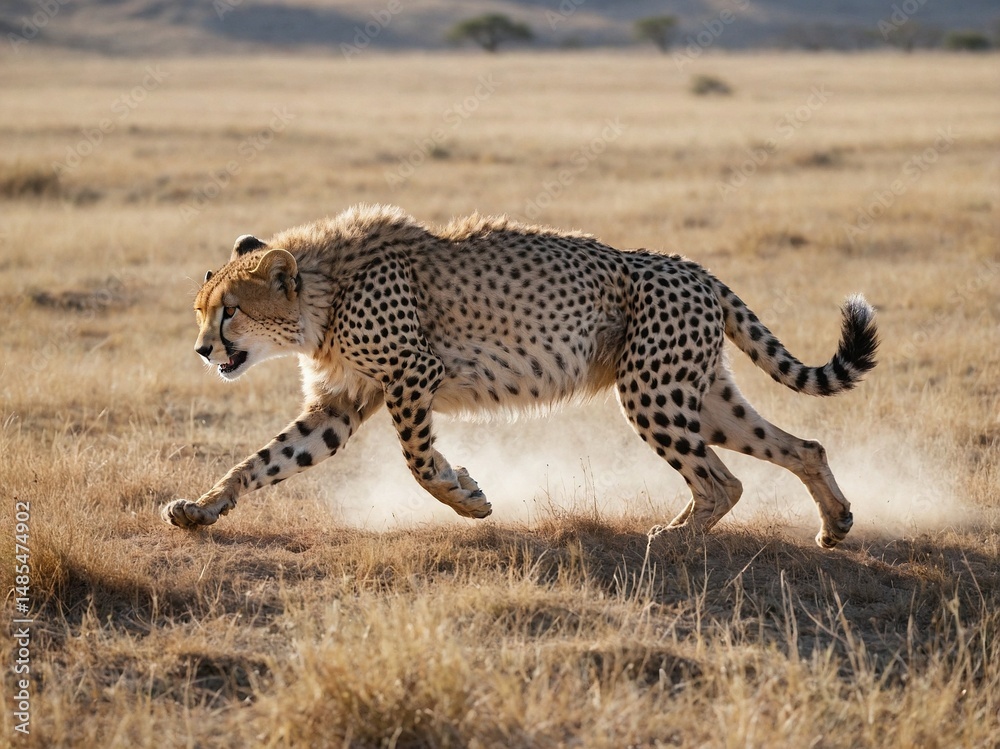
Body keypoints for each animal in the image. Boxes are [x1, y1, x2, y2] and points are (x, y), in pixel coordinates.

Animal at [162, 204, 878, 548]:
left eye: (229, 312)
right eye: (201, 310)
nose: (201, 349)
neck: (321, 291)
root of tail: (690, 266)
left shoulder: (414, 372)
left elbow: (418, 461)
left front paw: (467, 495)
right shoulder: (341, 402)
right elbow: (265, 460)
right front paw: (202, 508)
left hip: (653, 392)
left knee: (722, 479)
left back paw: (674, 538)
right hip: (698, 395)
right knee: (800, 446)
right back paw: (836, 523)